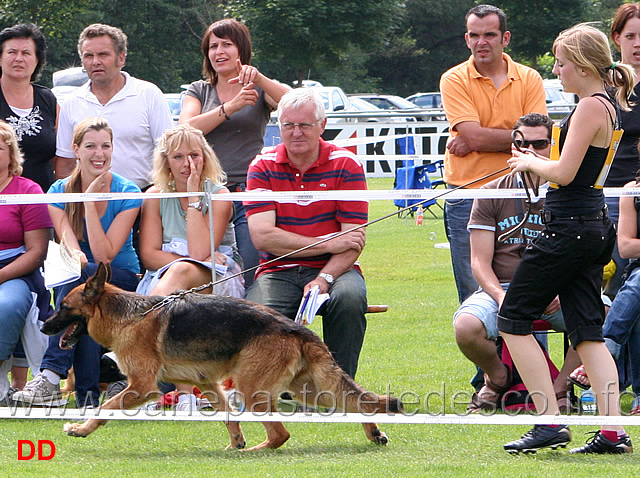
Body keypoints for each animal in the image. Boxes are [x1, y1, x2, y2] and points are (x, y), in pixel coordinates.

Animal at [41, 264, 400, 450]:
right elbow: (229, 417)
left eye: (64, 306)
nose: (44, 326)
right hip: (309, 390)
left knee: (280, 434)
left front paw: (81, 428)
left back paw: (256, 452)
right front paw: (236, 442)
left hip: (253, 390)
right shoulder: (209, 385)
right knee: (356, 403)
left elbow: (106, 407)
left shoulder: (142, 386)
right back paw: (373, 433)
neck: (129, 316)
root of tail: (294, 327)